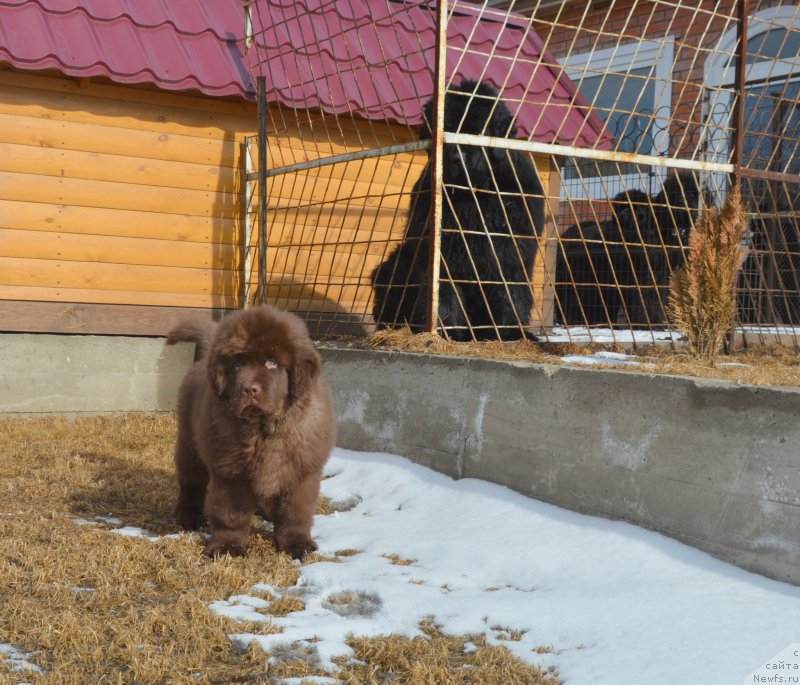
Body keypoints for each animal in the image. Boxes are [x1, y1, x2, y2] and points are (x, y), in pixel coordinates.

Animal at [166, 308, 334, 560]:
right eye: (237, 364)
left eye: (272, 362)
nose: (249, 389)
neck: (264, 430)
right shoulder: (231, 471)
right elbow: (230, 514)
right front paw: (227, 547)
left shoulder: (301, 472)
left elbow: (295, 513)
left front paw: (297, 544)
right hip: (189, 443)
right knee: (191, 482)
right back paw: (188, 516)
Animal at [372, 79, 548, 340]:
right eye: (448, 128)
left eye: (477, 131)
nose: (459, 158)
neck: (472, 198)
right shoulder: (443, 253)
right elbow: (445, 295)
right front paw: (449, 333)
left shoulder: (510, 252)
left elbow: (510, 294)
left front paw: (509, 334)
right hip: (398, 261)